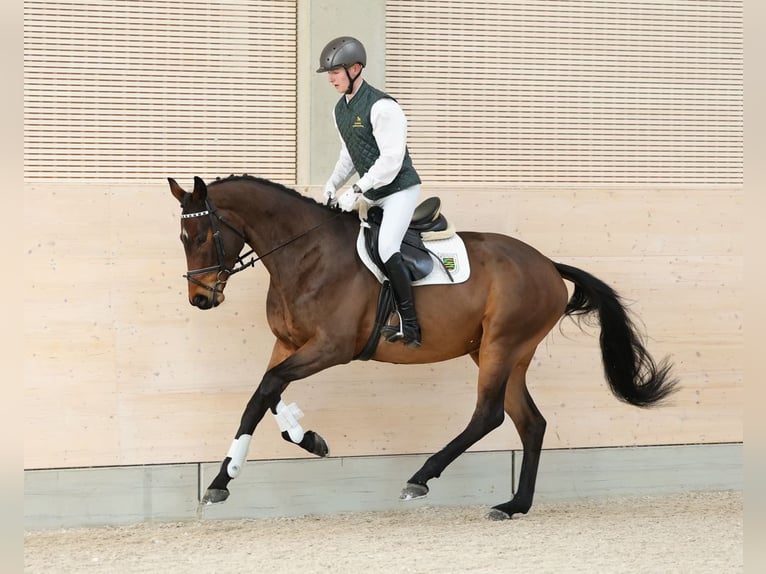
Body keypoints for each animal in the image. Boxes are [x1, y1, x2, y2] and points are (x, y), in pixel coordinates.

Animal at [168, 174, 677, 520]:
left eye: (203, 236)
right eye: (182, 238)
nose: (201, 299)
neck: (306, 255)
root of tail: (548, 265)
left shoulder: (331, 347)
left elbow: (267, 388)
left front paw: (233, 475)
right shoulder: (287, 344)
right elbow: (264, 396)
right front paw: (294, 444)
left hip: (501, 345)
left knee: (489, 415)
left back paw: (420, 479)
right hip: (503, 352)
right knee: (531, 423)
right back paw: (515, 505)